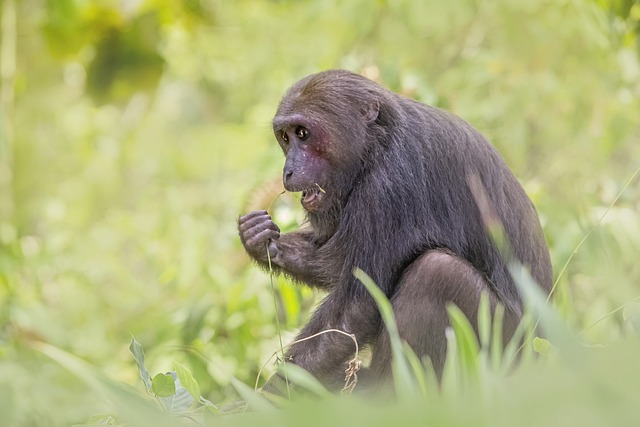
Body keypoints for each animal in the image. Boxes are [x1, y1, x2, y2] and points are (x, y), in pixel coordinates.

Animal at [238, 68, 552, 392]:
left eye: (303, 133)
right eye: (285, 137)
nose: (288, 169)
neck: (375, 146)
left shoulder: (388, 187)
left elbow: (353, 309)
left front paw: (271, 393)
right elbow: (336, 264)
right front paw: (261, 240)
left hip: (504, 358)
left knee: (437, 272)